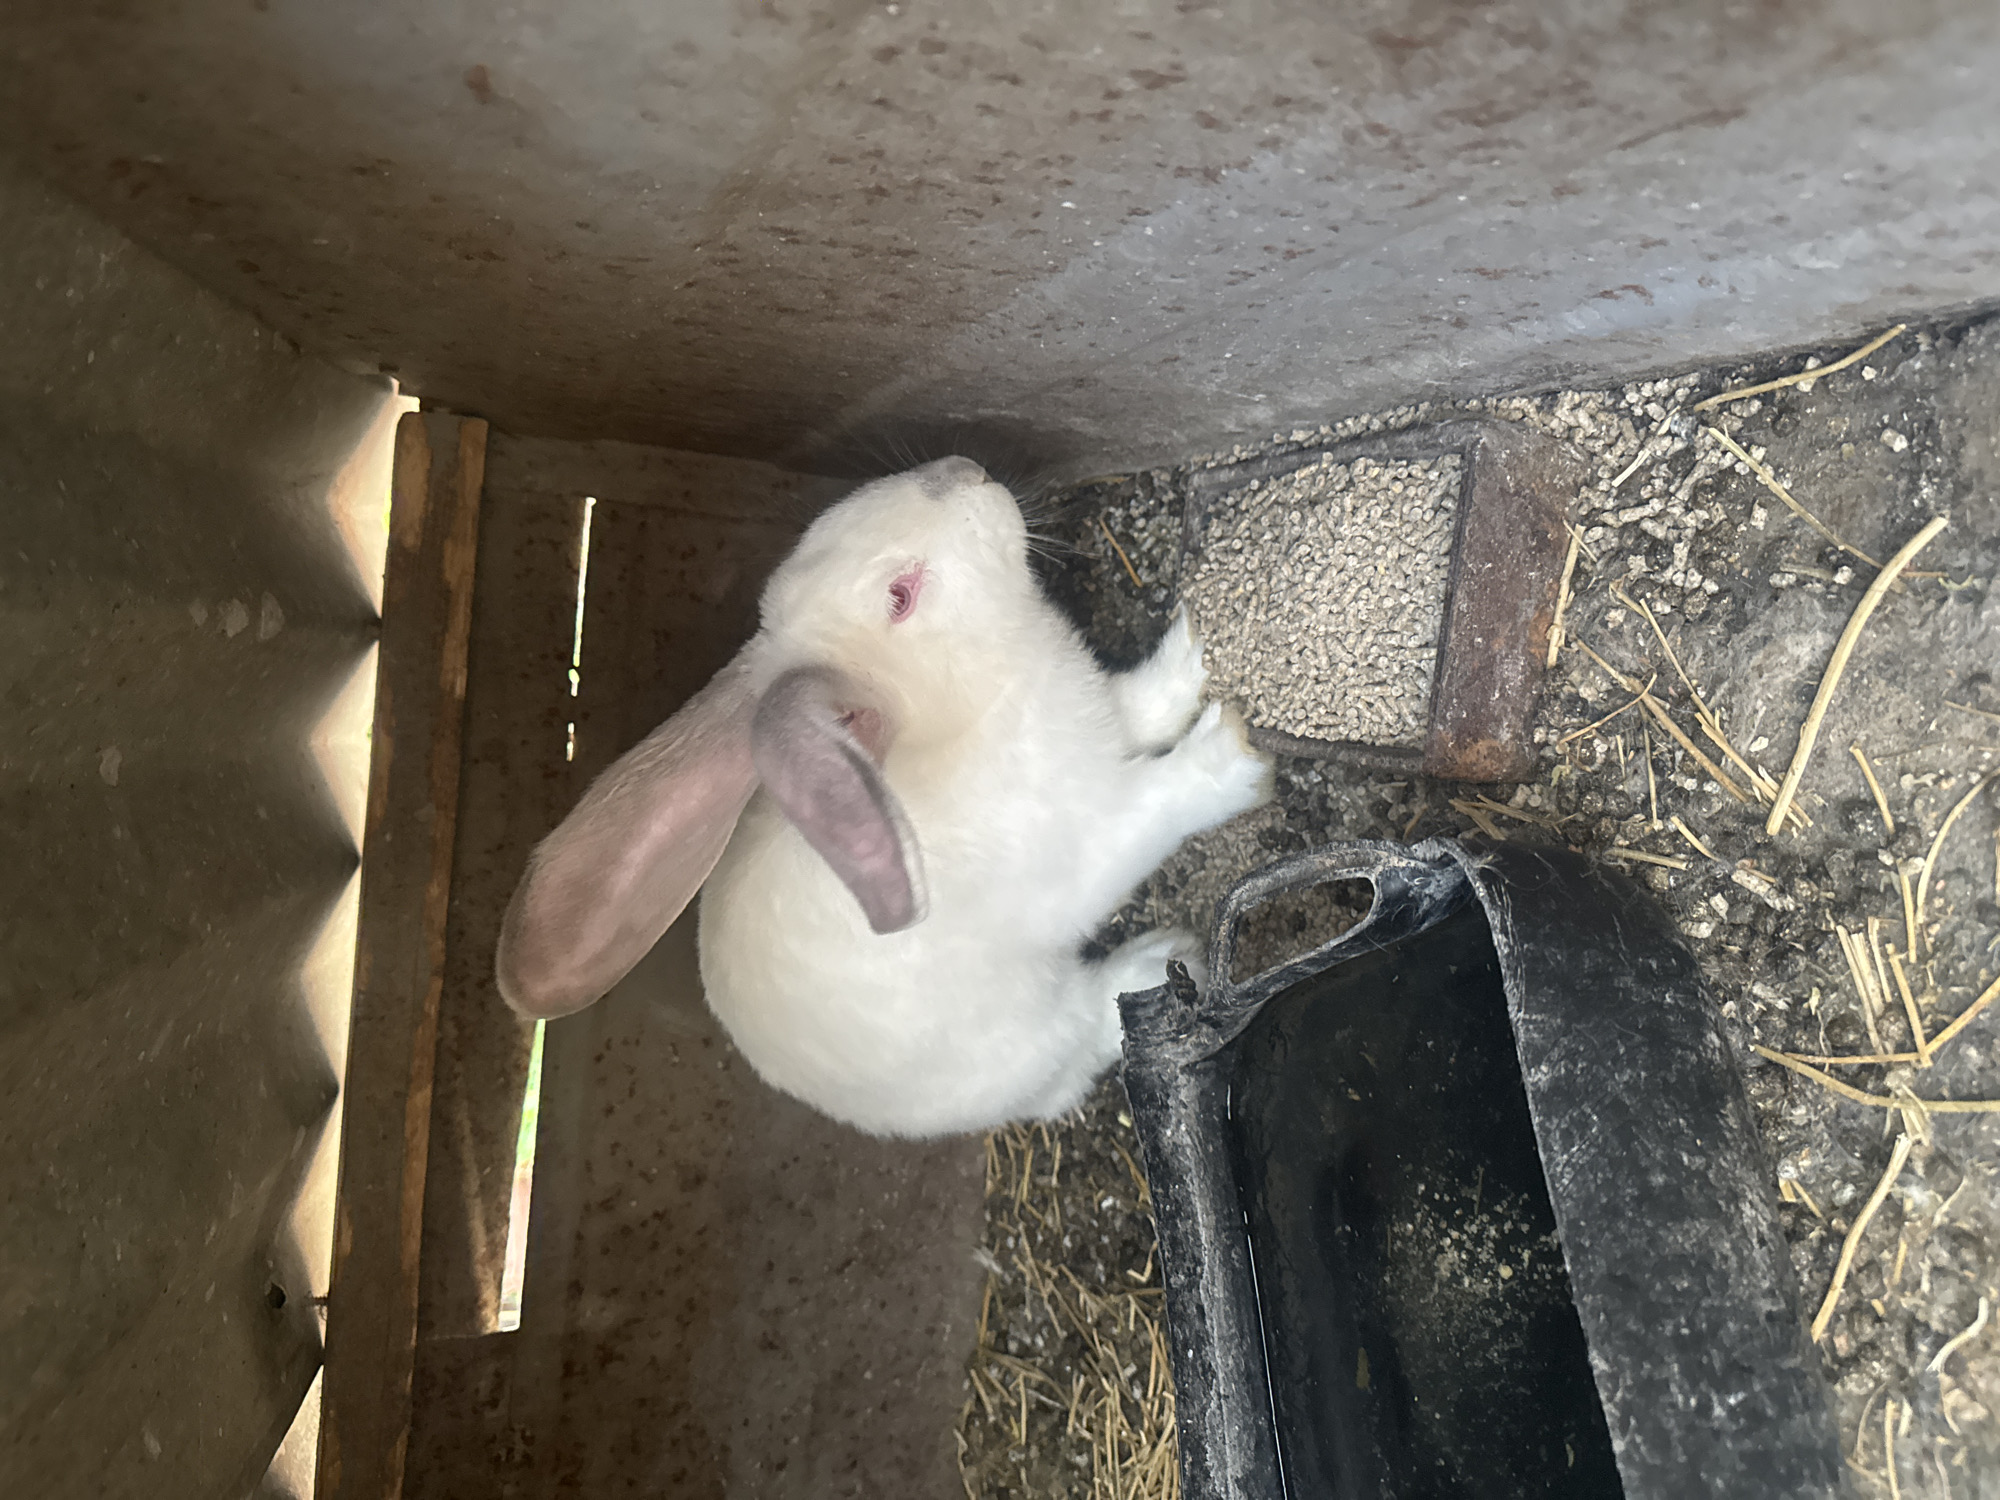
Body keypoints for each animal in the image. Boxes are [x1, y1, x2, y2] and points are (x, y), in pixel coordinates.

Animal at [496, 456, 1274, 1137]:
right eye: (902, 595)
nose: (967, 470)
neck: (964, 705)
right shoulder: (1086, 843)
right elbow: (1158, 805)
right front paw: (1233, 754)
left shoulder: (1105, 722)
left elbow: (1139, 708)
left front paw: (1192, 656)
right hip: (1033, 1034)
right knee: (1085, 1037)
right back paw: (1159, 958)